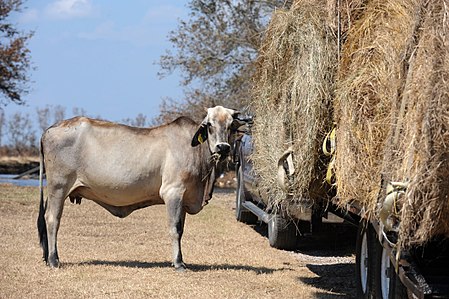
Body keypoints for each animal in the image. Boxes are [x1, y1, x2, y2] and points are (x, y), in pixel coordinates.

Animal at [37, 106, 240, 274]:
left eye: (231, 126)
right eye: (209, 125)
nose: (223, 148)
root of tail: (51, 129)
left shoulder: (183, 198)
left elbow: (181, 230)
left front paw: (181, 260)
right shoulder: (173, 192)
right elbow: (174, 229)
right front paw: (178, 263)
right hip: (58, 187)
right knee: (52, 219)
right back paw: (54, 260)